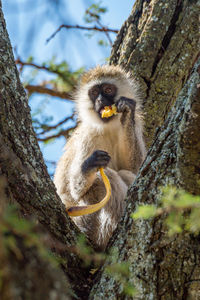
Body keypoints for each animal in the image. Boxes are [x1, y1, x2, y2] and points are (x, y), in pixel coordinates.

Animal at [54, 65, 146, 251]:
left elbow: (137, 168)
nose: (101, 100)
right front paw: (89, 164)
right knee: (103, 178)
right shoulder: (88, 137)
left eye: (108, 90)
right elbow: (75, 190)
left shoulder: (137, 125)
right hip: (84, 220)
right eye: (95, 92)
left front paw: (127, 111)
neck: (108, 127)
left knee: (125, 173)